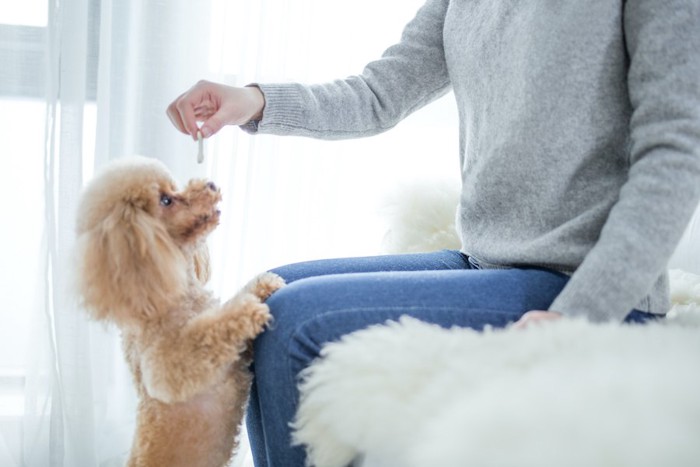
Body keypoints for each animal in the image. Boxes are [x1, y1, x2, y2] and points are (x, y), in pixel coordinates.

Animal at [74, 155, 284, 466]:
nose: (211, 185)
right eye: (165, 200)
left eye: (173, 188)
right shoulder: (164, 369)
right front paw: (247, 311)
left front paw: (263, 285)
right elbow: (204, 335)